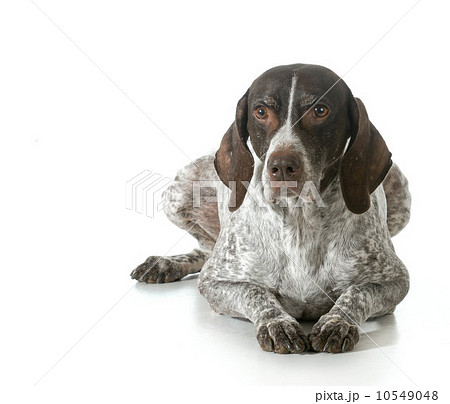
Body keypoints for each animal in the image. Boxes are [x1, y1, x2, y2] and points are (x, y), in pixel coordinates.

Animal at [131, 63, 411, 354]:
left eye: (320, 110)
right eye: (261, 112)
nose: (283, 166)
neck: (299, 220)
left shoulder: (396, 280)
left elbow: (356, 293)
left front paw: (337, 322)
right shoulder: (214, 281)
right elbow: (256, 293)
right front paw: (277, 323)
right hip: (178, 192)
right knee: (205, 250)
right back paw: (166, 263)